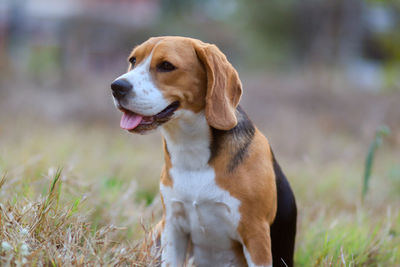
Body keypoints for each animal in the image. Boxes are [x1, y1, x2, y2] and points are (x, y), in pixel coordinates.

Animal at [111, 36, 296, 267]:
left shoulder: (256, 235)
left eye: (166, 66)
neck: (191, 151)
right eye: (133, 60)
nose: (116, 87)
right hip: (157, 233)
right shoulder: (173, 226)